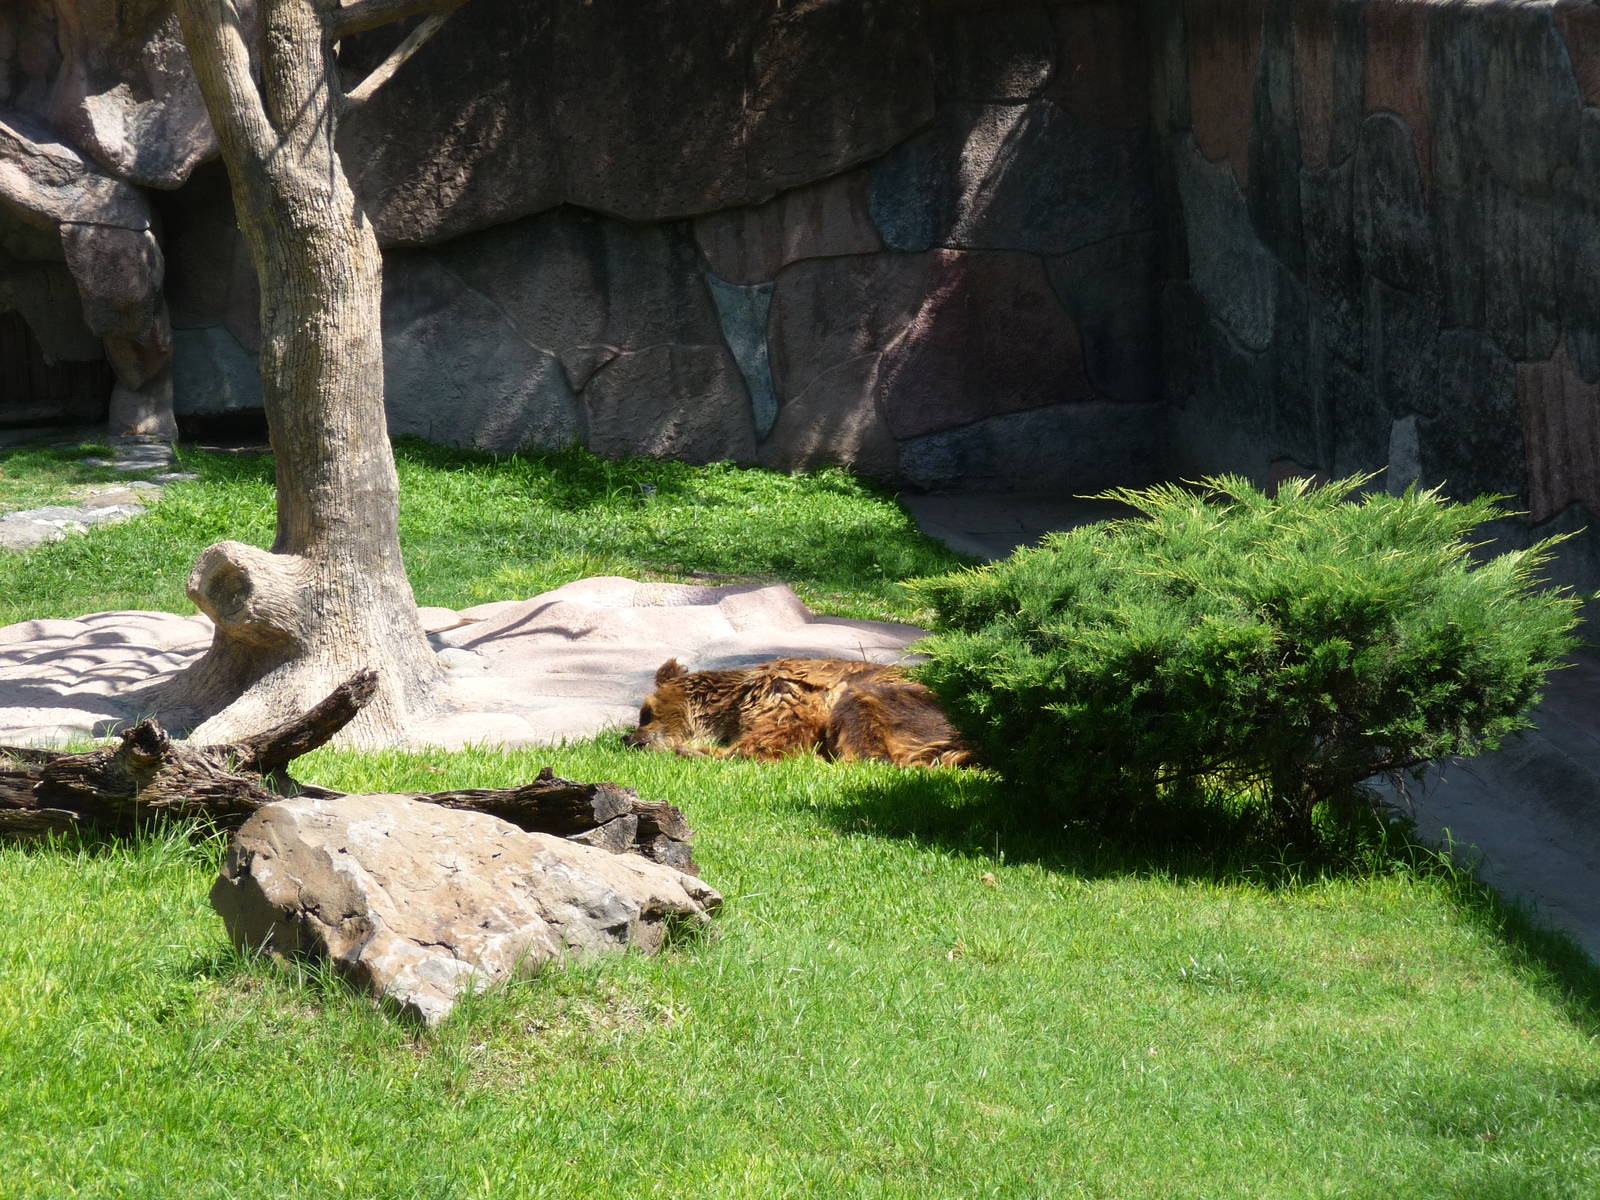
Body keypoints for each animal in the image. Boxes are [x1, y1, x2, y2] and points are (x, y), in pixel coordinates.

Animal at [623, 657, 972, 768]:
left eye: (646, 713)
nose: (630, 739)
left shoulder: (783, 695)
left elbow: (776, 737)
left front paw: (697, 750)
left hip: (905, 705)